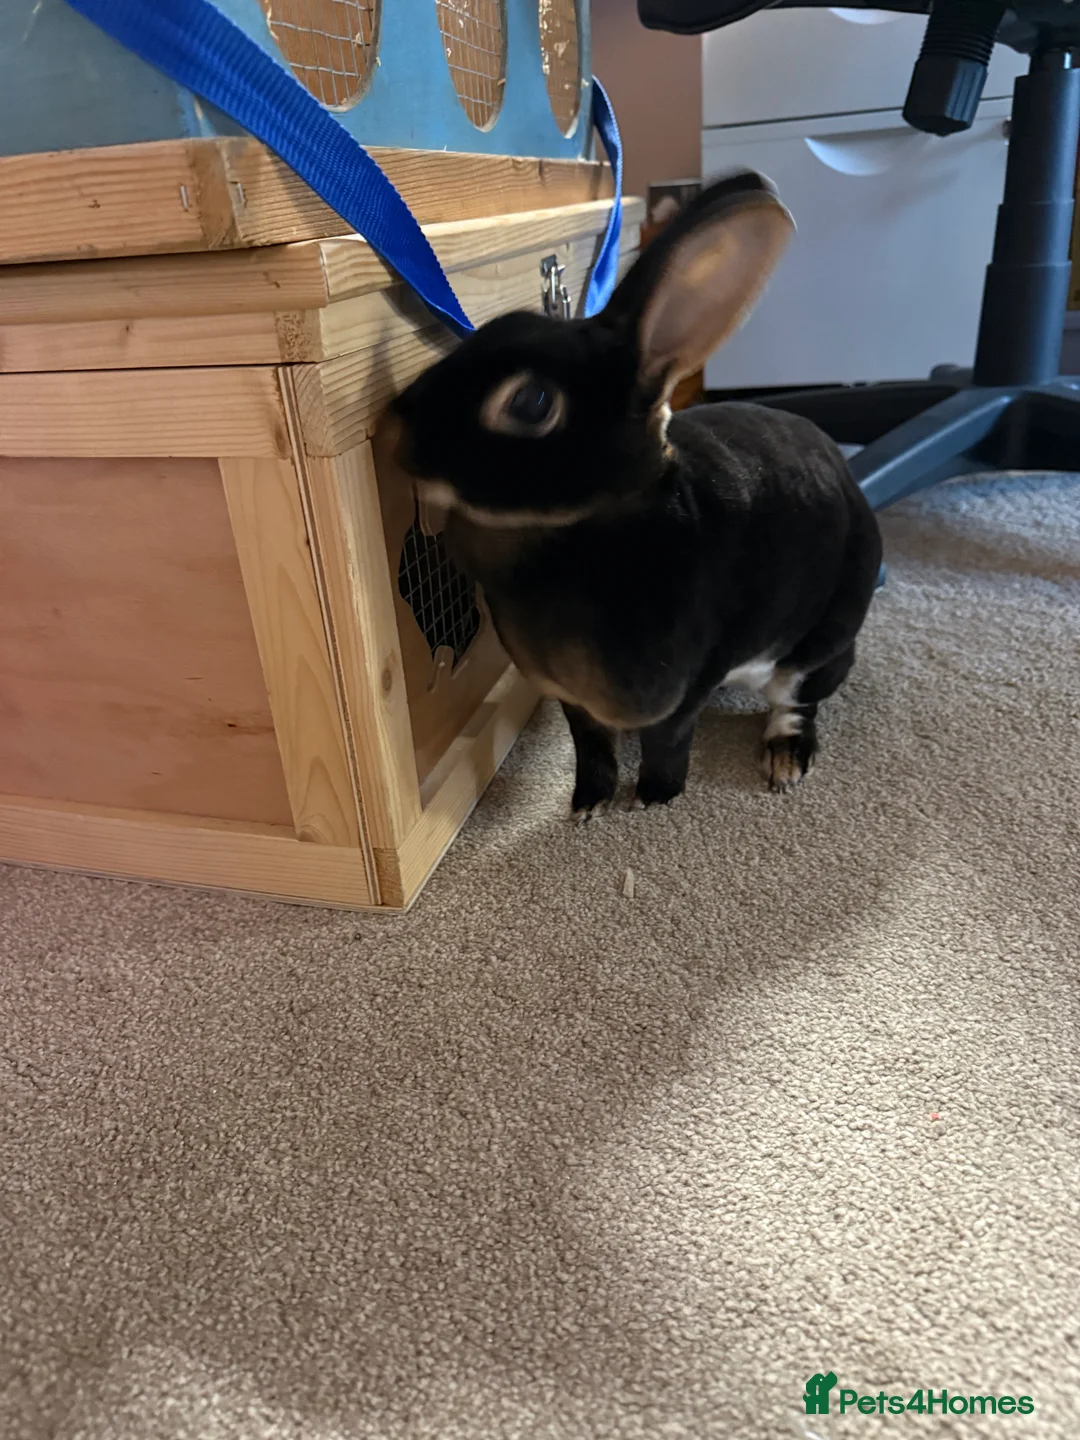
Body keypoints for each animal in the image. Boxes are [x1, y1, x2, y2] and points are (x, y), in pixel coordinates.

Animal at [390, 170, 883, 818]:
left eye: (532, 403)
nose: (396, 424)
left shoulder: (686, 685)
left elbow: (667, 741)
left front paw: (654, 798)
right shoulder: (568, 695)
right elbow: (589, 742)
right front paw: (588, 803)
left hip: (820, 643)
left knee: (798, 700)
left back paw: (783, 759)